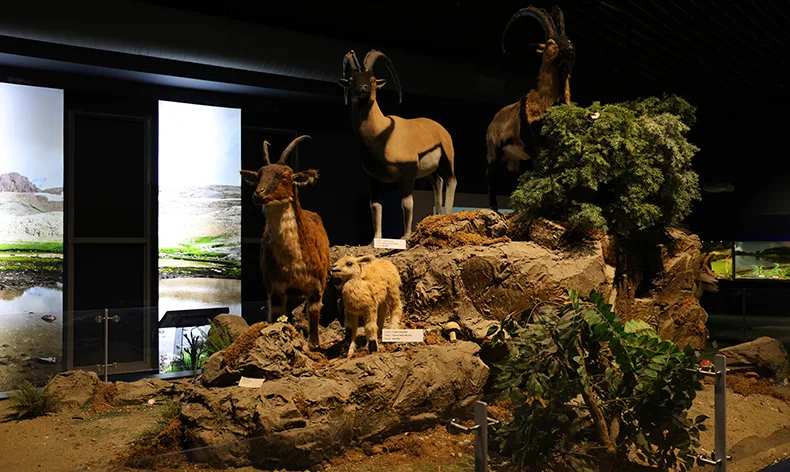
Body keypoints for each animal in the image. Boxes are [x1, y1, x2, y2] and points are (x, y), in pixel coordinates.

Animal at [240, 136, 330, 349]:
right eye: (259, 175)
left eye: (286, 177)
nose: (259, 194)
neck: (294, 263)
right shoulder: (273, 284)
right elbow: (276, 314)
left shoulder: (318, 282)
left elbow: (314, 310)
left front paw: (313, 344)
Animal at [339, 49, 457, 240]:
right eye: (351, 80)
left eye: (373, 79)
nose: (362, 88)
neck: (382, 133)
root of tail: (441, 129)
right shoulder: (374, 178)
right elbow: (376, 206)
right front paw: (376, 239)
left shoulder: (407, 174)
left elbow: (407, 203)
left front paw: (405, 236)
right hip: (429, 172)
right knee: (437, 183)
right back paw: (437, 216)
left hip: (446, 162)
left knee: (451, 181)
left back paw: (446, 215)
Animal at [485, 5, 575, 210]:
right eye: (550, 42)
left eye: (569, 39)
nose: (570, 51)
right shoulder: (535, 146)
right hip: (493, 151)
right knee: (491, 175)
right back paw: (495, 209)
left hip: (515, 158)